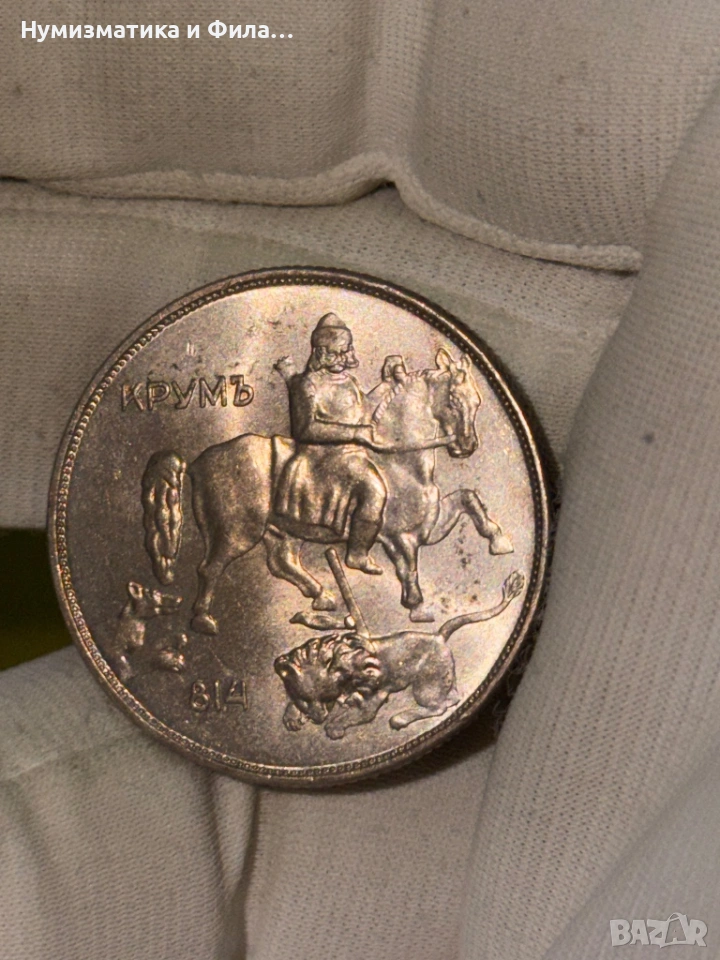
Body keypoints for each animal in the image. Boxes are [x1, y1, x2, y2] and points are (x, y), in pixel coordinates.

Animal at [141, 348, 513, 636]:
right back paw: (203, 620)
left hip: (283, 530)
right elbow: (408, 565)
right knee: (211, 568)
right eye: (453, 400)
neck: (402, 461)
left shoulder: (429, 527)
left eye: (477, 401)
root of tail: (197, 462)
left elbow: (469, 498)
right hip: (236, 532)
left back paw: (321, 595)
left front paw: (499, 540)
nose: (467, 447)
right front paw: (417, 606)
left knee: (282, 561)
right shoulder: (399, 535)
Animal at [274, 571, 525, 740]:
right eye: (304, 699)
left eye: (325, 696)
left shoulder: (373, 695)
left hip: (426, 685)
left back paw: (400, 718)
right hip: (440, 680)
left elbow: (357, 714)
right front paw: (291, 716)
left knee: (439, 706)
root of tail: (439, 636)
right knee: (452, 697)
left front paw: (335, 727)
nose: (317, 718)